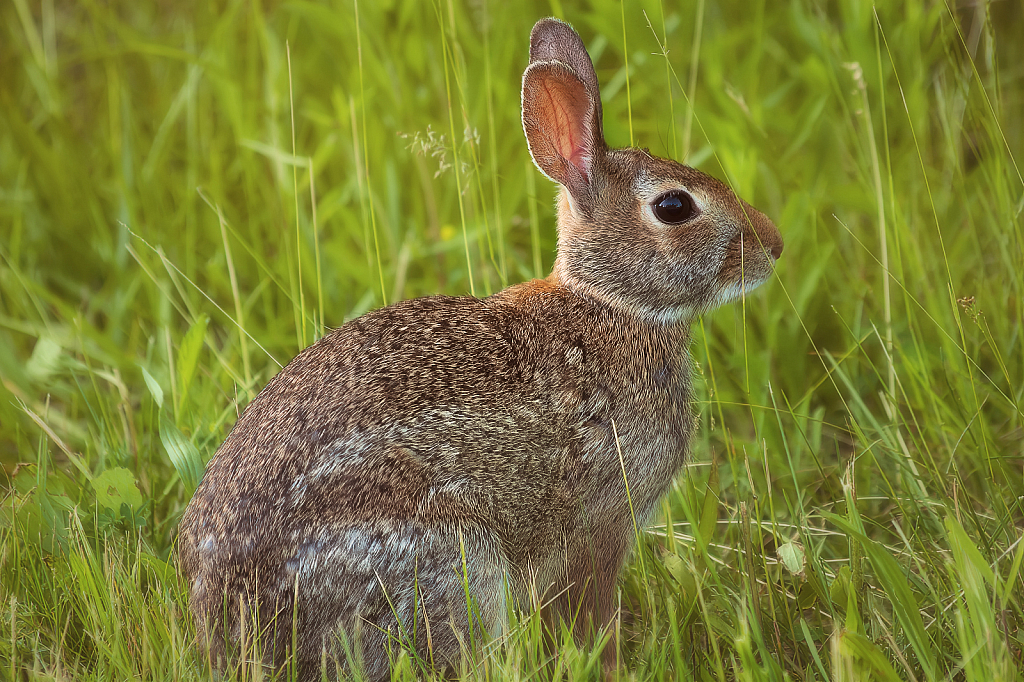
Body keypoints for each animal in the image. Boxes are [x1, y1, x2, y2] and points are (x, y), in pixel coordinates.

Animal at [176, 15, 782, 679]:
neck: (612, 305)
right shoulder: (600, 526)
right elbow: (590, 610)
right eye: (674, 207)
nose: (773, 245)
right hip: (445, 561)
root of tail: (227, 620)